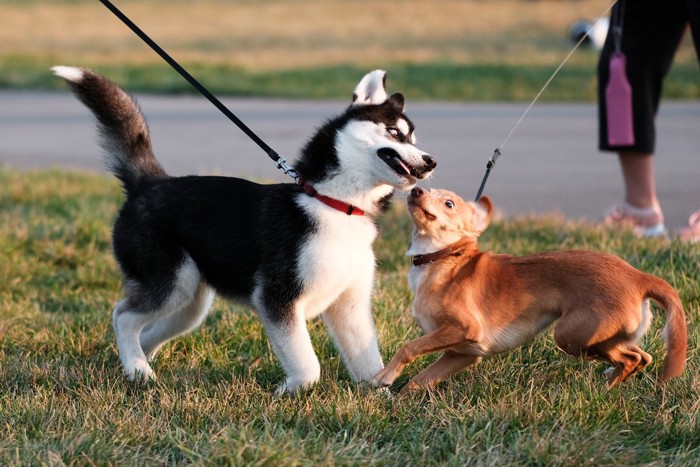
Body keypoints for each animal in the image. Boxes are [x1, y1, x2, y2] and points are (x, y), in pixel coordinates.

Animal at [54, 66, 434, 394]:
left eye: (415, 138)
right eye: (395, 133)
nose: (431, 161)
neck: (334, 204)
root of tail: (148, 183)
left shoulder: (350, 307)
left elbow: (371, 364)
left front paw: (383, 400)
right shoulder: (277, 298)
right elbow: (309, 366)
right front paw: (289, 391)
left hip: (190, 302)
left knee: (145, 330)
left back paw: (133, 367)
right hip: (172, 283)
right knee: (123, 316)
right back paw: (137, 368)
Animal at [374, 188, 688, 394]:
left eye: (448, 203)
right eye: (426, 187)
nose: (416, 189)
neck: (444, 257)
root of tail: (638, 276)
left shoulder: (464, 329)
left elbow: (409, 347)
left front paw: (384, 376)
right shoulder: (462, 353)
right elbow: (420, 380)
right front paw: (398, 402)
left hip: (571, 334)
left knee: (630, 357)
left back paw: (603, 389)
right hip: (604, 335)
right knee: (641, 356)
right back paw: (609, 384)